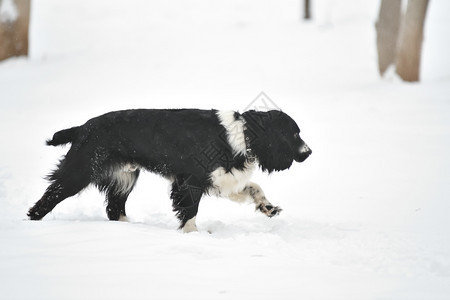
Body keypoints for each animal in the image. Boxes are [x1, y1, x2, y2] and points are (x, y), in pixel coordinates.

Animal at [27, 108, 310, 232]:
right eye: (295, 134)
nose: (309, 152)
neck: (242, 133)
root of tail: (82, 128)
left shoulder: (222, 179)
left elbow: (254, 187)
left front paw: (268, 208)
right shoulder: (190, 181)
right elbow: (190, 212)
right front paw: (193, 235)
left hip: (125, 176)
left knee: (114, 208)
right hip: (80, 171)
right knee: (48, 197)